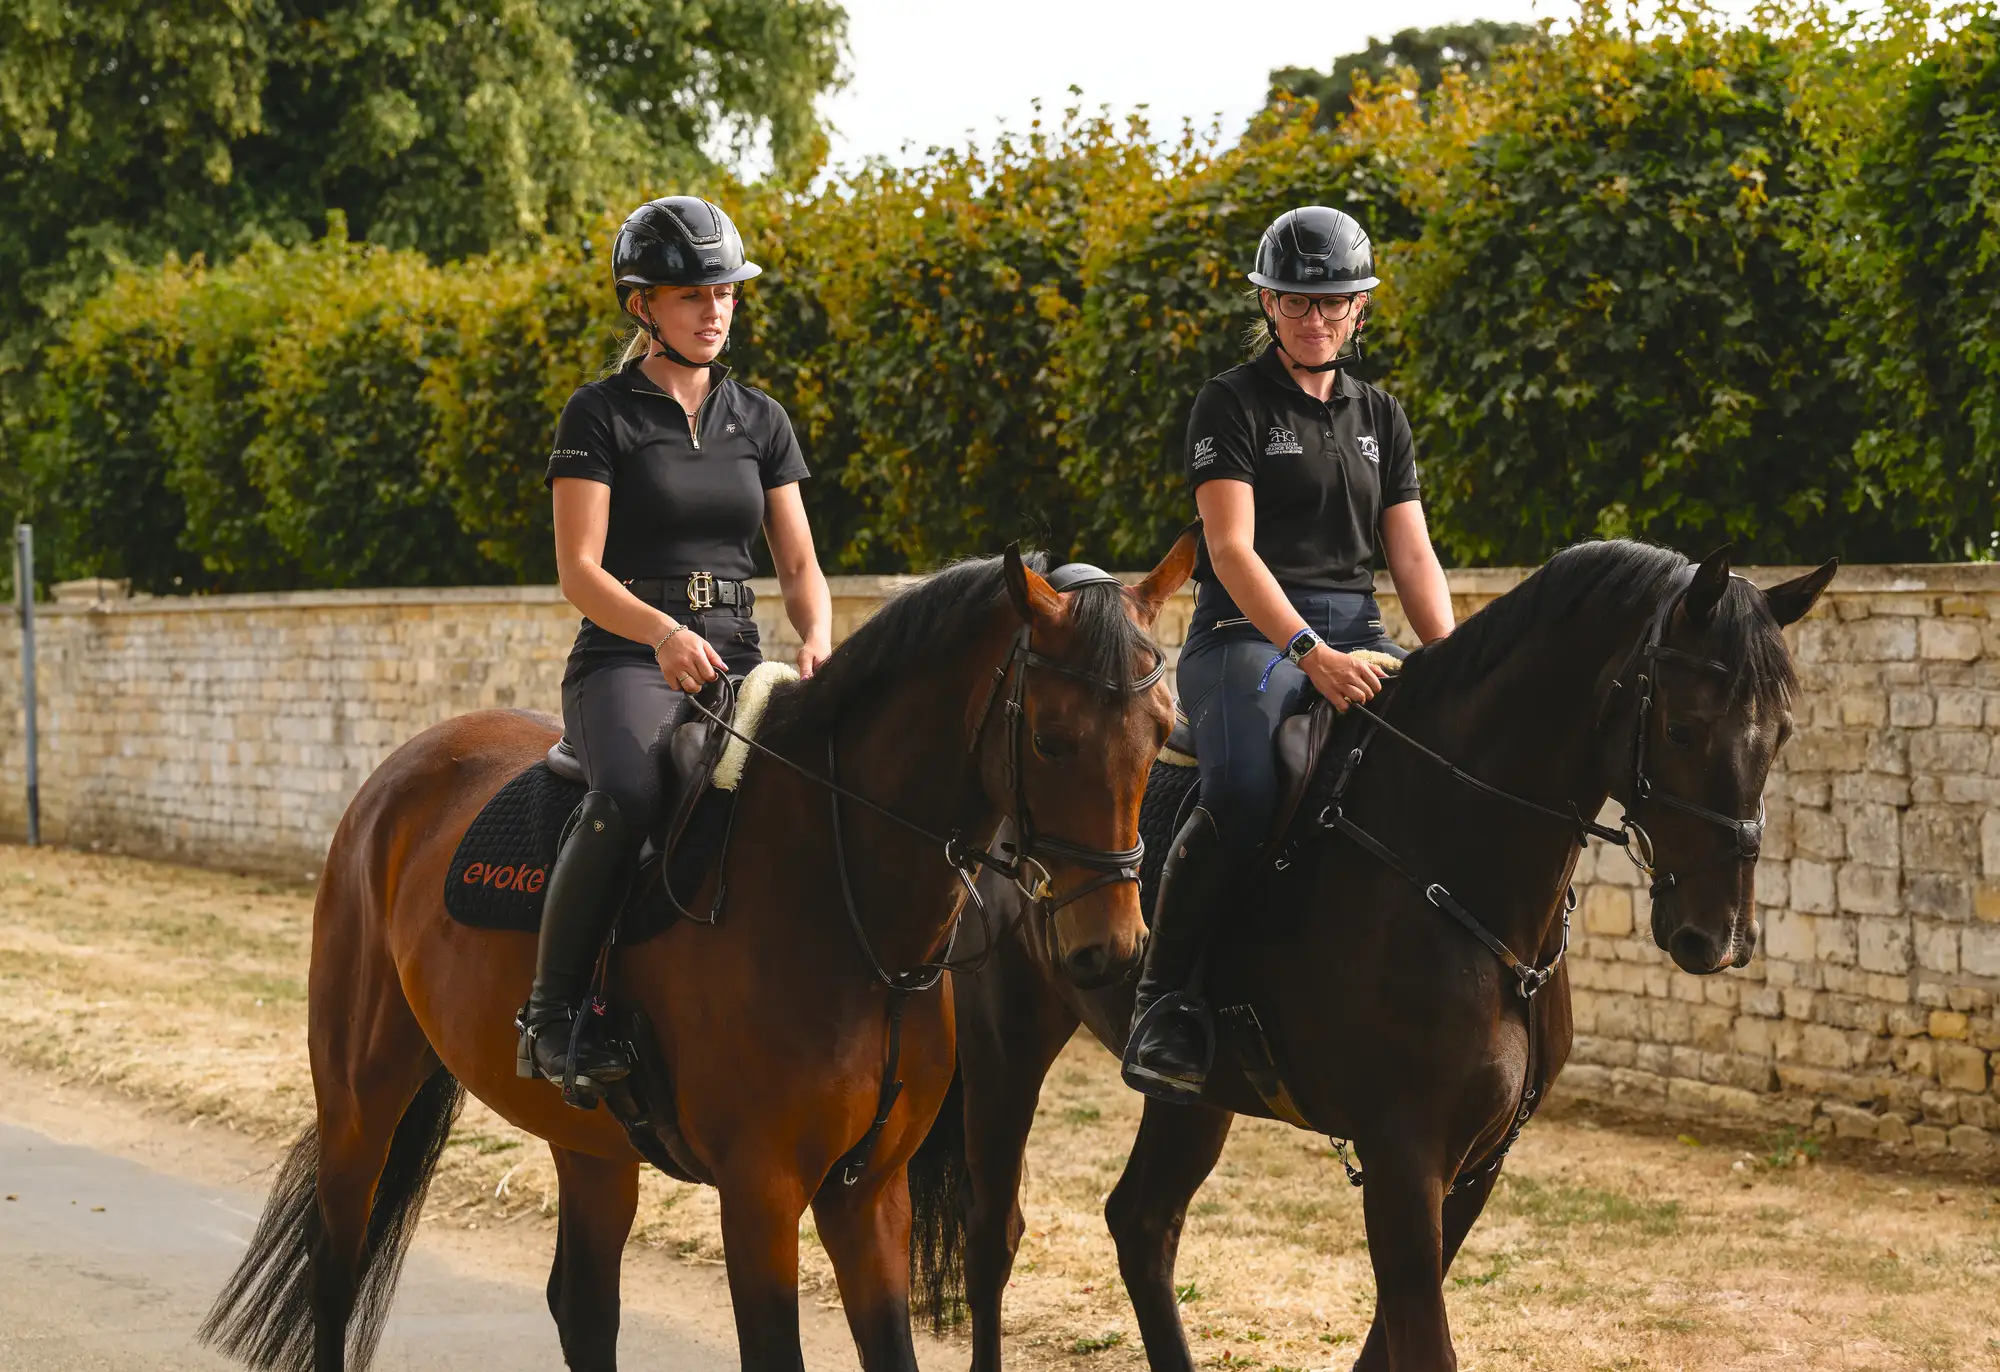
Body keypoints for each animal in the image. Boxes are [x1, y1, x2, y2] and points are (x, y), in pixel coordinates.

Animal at [199, 533, 1199, 1372]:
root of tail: (399, 774)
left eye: (1162, 730)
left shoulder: (870, 1194)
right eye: (1052, 739)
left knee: (582, 1308)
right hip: (360, 1098)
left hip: (590, 1142)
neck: (846, 910)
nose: (1110, 947)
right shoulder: (759, 1195)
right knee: (335, 1269)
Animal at [922, 540, 1837, 1372]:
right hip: (1007, 1048)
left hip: (1196, 1096)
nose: (1719, 937)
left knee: (1142, 1223)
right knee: (994, 1230)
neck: (1451, 864)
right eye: (1683, 727)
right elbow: (1423, 1344)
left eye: (1783, 733)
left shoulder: (1476, 1165)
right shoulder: (1404, 1161)